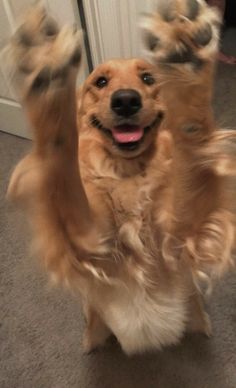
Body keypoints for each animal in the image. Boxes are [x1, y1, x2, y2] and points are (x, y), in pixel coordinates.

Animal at [6, 0, 236, 354]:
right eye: (100, 82)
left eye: (148, 78)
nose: (126, 100)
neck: (128, 173)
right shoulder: (89, 241)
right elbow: (61, 173)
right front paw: (47, 69)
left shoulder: (181, 233)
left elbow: (193, 157)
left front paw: (186, 54)